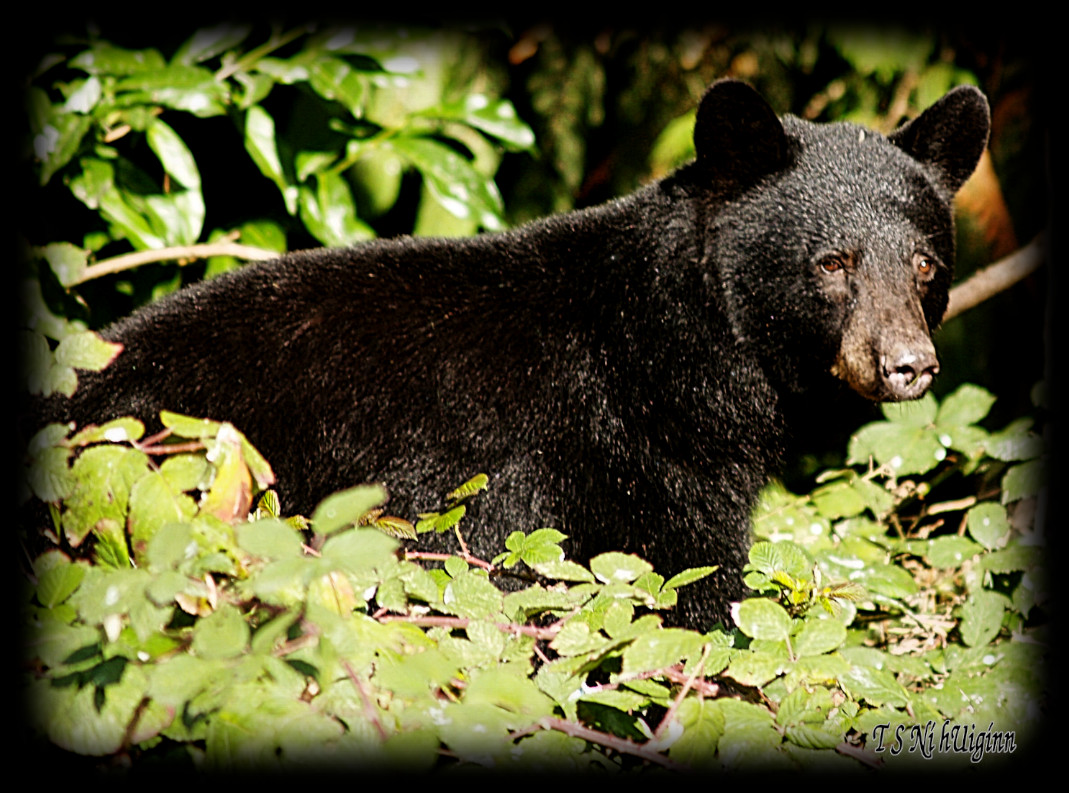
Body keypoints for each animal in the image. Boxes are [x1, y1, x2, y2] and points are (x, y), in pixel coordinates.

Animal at [38, 79, 991, 630]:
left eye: (923, 264)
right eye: (831, 263)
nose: (907, 362)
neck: (676, 348)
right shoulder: (614, 459)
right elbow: (682, 588)